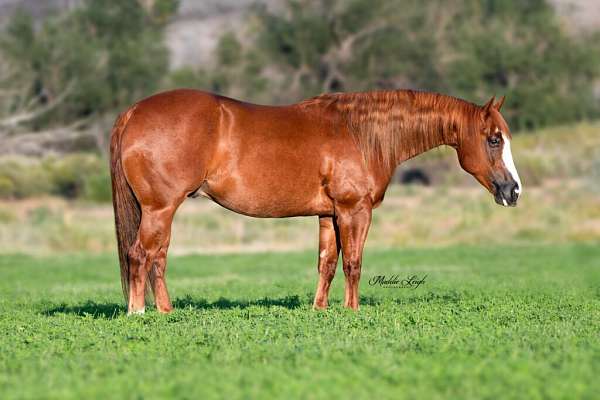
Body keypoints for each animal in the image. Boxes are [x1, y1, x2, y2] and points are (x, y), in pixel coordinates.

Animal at [111, 89, 520, 314]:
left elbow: (327, 263)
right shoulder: (355, 210)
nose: (513, 191)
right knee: (141, 255)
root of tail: (134, 112)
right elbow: (354, 262)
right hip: (161, 209)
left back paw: (165, 311)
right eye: (494, 139)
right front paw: (352, 310)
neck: (360, 133)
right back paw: (139, 313)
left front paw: (320, 309)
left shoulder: (328, 214)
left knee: (157, 258)